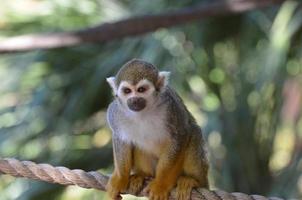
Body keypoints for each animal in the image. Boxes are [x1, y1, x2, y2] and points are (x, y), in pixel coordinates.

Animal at [105, 59, 208, 200]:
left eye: (141, 89)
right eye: (127, 91)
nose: (134, 100)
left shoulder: (171, 107)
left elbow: (180, 135)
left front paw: (161, 185)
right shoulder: (115, 112)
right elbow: (121, 139)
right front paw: (120, 179)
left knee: (194, 132)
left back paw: (193, 181)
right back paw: (142, 174)